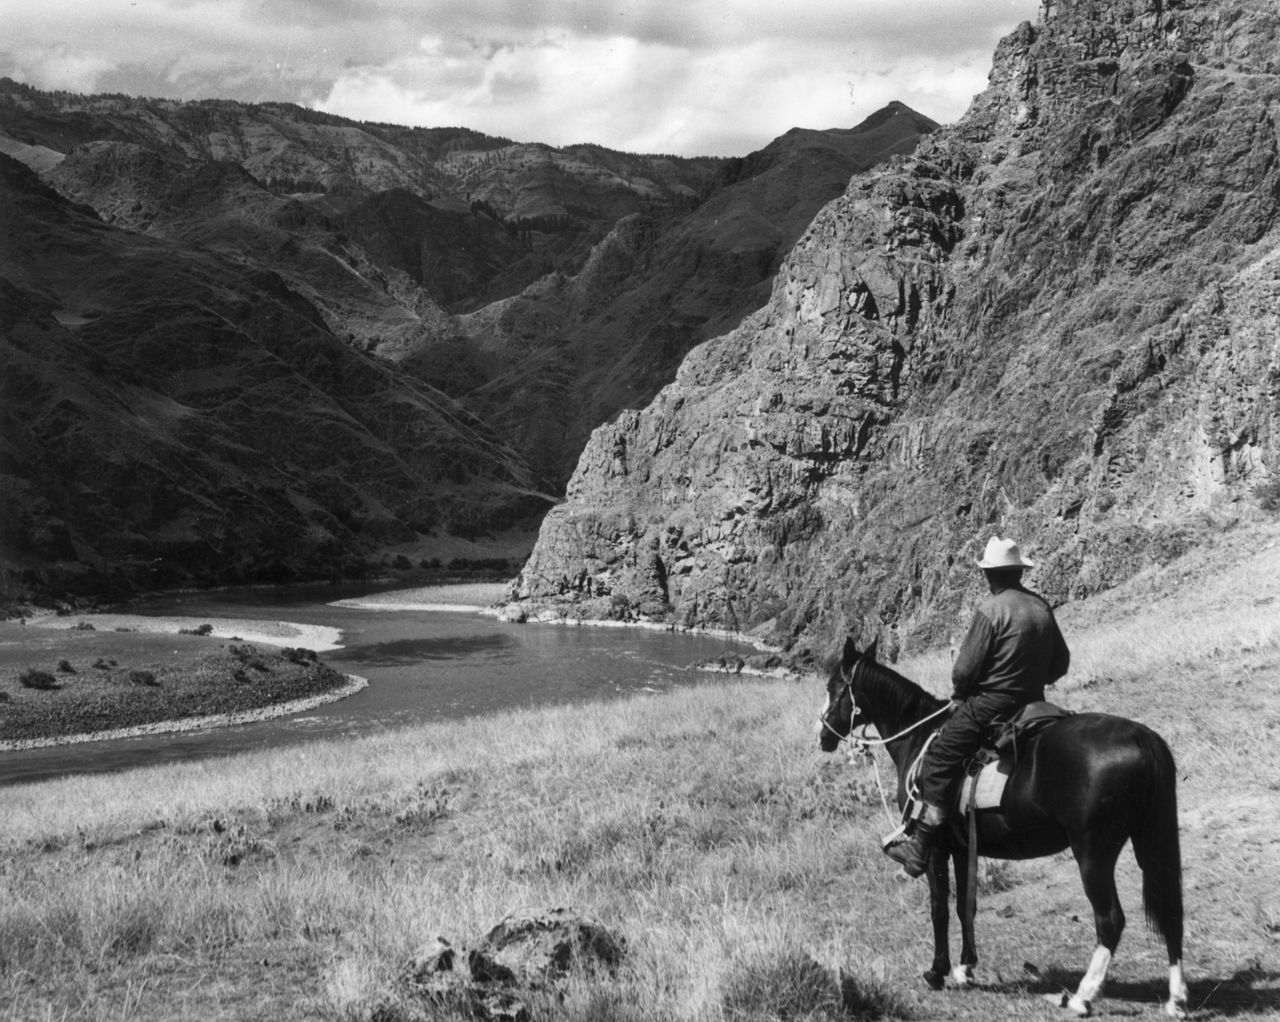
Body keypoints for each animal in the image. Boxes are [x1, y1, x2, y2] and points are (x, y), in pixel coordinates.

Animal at [819, 635, 1187, 1019]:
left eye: (833, 687)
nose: (822, 734)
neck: (919, 735)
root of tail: (1140, 735)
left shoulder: (935, 848)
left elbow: (939, 908)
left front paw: (937, 971)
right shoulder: (962, 848)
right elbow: (966, 906)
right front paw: (965, 968)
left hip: (1093, 854)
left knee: (1111, 920)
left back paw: (1083, 995)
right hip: (1149, 843)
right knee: (1171, 912)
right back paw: (1176, 998)